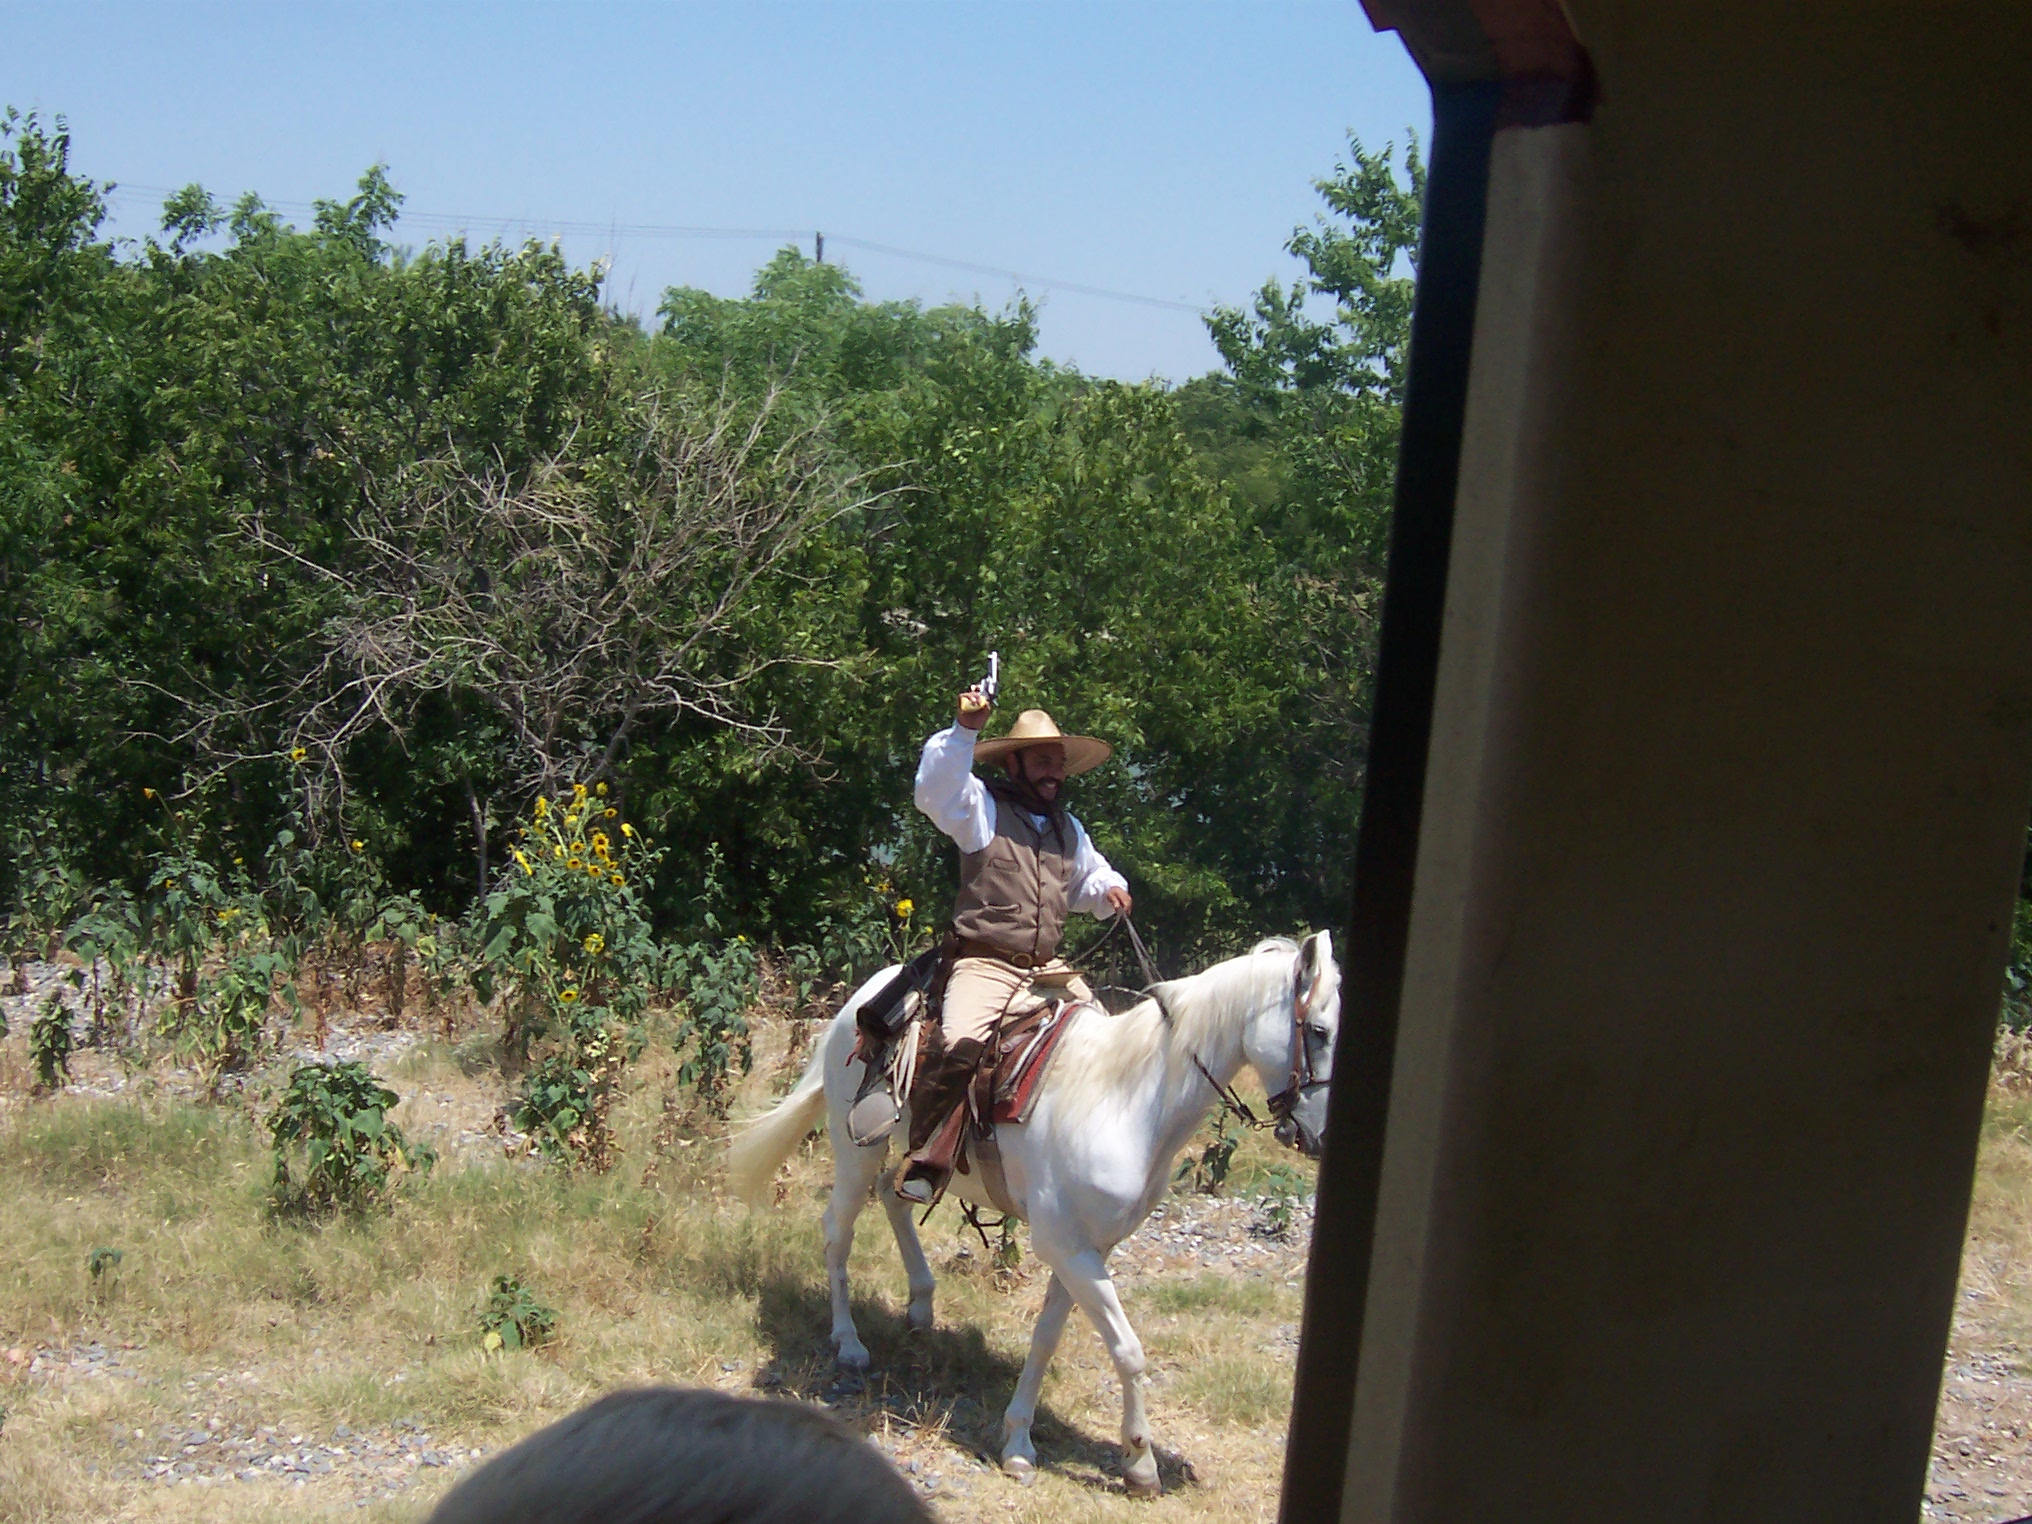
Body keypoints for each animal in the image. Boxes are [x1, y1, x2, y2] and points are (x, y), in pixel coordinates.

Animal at [727, 931, 1341, 1496]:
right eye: (1319, 1031)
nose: (1319, 1138)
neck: (1126, 1100)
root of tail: (858, 1002)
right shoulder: (1066, 1247)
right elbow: (1128, 1350)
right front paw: (1140, 1462)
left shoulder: (1085, 1248)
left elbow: (1047, 1338)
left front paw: (1019, 1442)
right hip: (856, 1147)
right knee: (839, 1229)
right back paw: (849, 1342)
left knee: (895, 1197)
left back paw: (921, 1305)